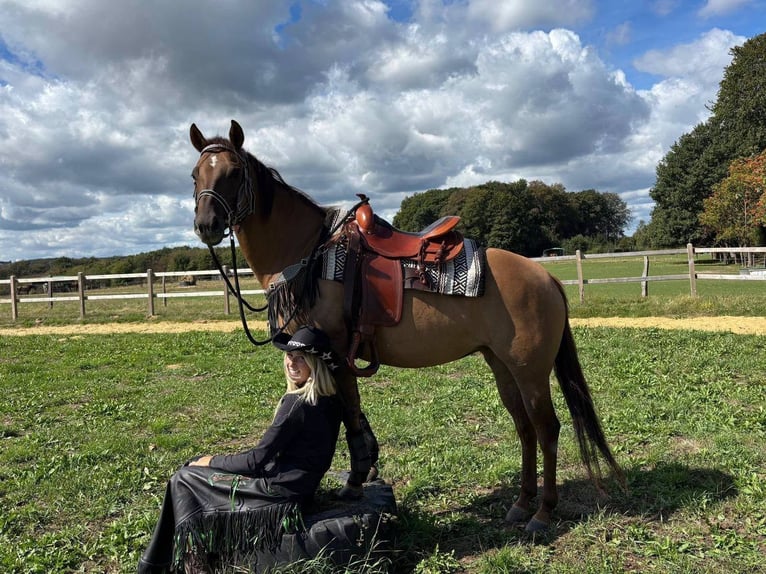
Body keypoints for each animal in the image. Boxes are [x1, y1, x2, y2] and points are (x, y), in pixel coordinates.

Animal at [189, 120, 624, 531]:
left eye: (233, 172)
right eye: (195, 174)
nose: (206, 223)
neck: (310, 254)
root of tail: (546, 277)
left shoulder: (334, 352)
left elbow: (349, 414)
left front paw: (354, 482)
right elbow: (353, 414)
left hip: (530, 370)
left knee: (547, 429)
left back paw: (543, 511)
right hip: (503, 366)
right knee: (525, 429)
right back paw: (521, 503)